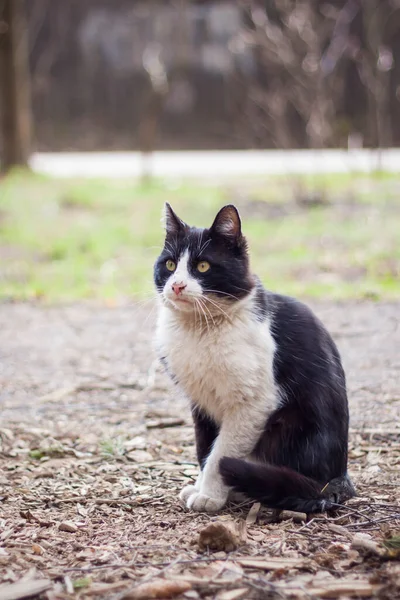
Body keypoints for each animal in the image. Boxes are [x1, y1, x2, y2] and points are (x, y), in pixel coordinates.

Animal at [154, 204, 356, 512]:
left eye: (202, 266)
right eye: (169, 265)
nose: (176, 285)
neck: (199, 328)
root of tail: (337, 480)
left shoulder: (254, 403)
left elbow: (220, 453)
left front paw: (209, 495)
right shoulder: (201, 401)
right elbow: (205, 447)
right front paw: (202, 487)